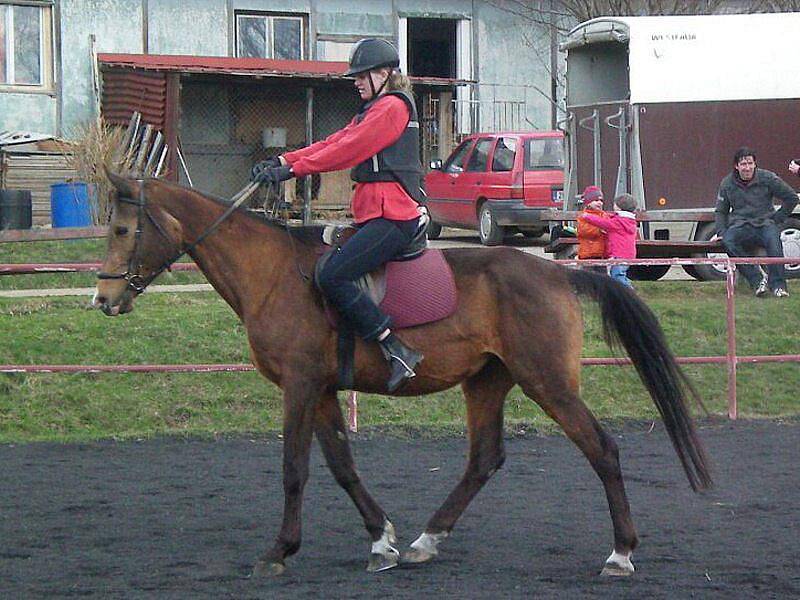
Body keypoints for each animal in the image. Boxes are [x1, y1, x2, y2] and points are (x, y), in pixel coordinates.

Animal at [94, 173, 712, 576]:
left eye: (123, 230)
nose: (103, 299)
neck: (272, 273)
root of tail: (559, 274)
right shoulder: (322, 390)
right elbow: (342, 466)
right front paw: (381, 541)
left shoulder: (299, 386)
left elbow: (295, 469)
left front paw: (280, 550)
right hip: (487, 380)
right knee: (484, 459)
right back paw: (426, 540)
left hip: (548, 382)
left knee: (601, 449)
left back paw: (620, 553)